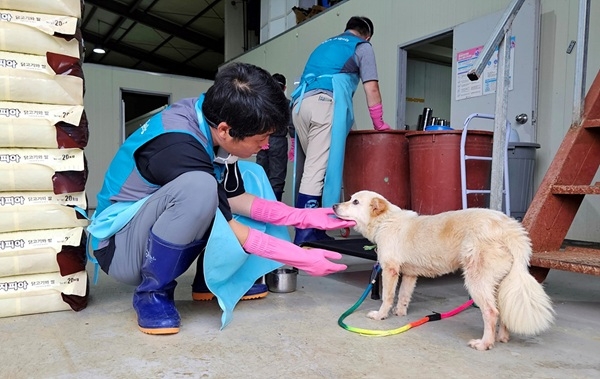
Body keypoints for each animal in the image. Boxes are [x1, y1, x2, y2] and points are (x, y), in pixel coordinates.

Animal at [332, 191, 552, 352]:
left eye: (355, 202)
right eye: (350, 198)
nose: (334, 206)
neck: (386, 220)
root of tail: (510, 228)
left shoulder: (390, 270)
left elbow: (387, 296)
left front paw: (381, 315)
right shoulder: (410, 274)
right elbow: (403, 296)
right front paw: (400, 313)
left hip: (476, 281)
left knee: (491, 312)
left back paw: (484, 343)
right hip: (498, 283)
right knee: (502, 309)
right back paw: (502, 337)